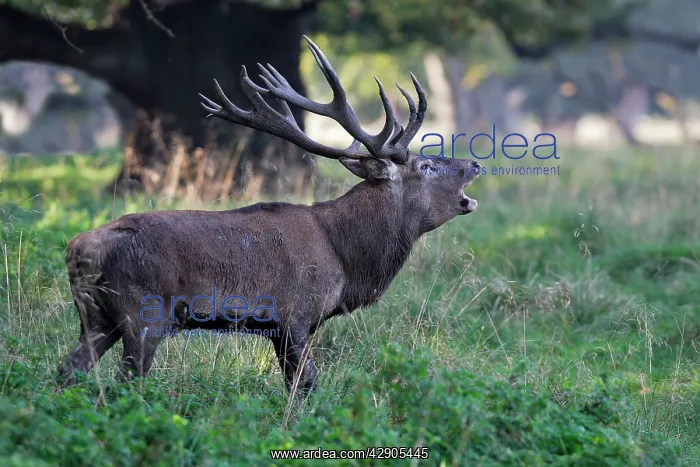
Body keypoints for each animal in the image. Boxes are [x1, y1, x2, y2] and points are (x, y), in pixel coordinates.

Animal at [58, 36, 481, 396]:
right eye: (426, 166)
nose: (474, 164)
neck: (346, 259)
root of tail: (78, 249)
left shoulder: (278, 328)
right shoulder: (296, 314)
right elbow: (305, 385)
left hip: (96, 317)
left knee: (68, 369)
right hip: (143, 311)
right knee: (126, 379)